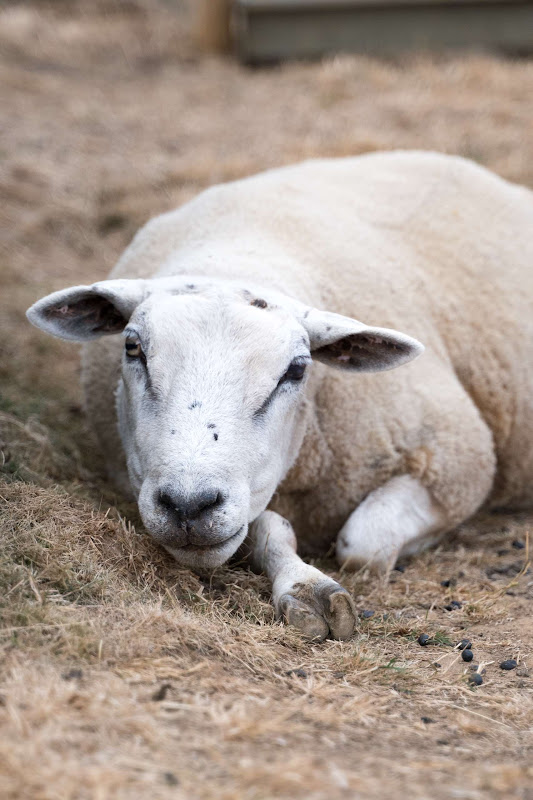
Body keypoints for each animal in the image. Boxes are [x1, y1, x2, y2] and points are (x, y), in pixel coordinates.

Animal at [27, 150, 533, 641]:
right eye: (132, 348)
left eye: (297, 369)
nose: (188, 505)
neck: (237, 254)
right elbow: (268, 529)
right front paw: (306, 587)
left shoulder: (459, 464)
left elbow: (362, 544)